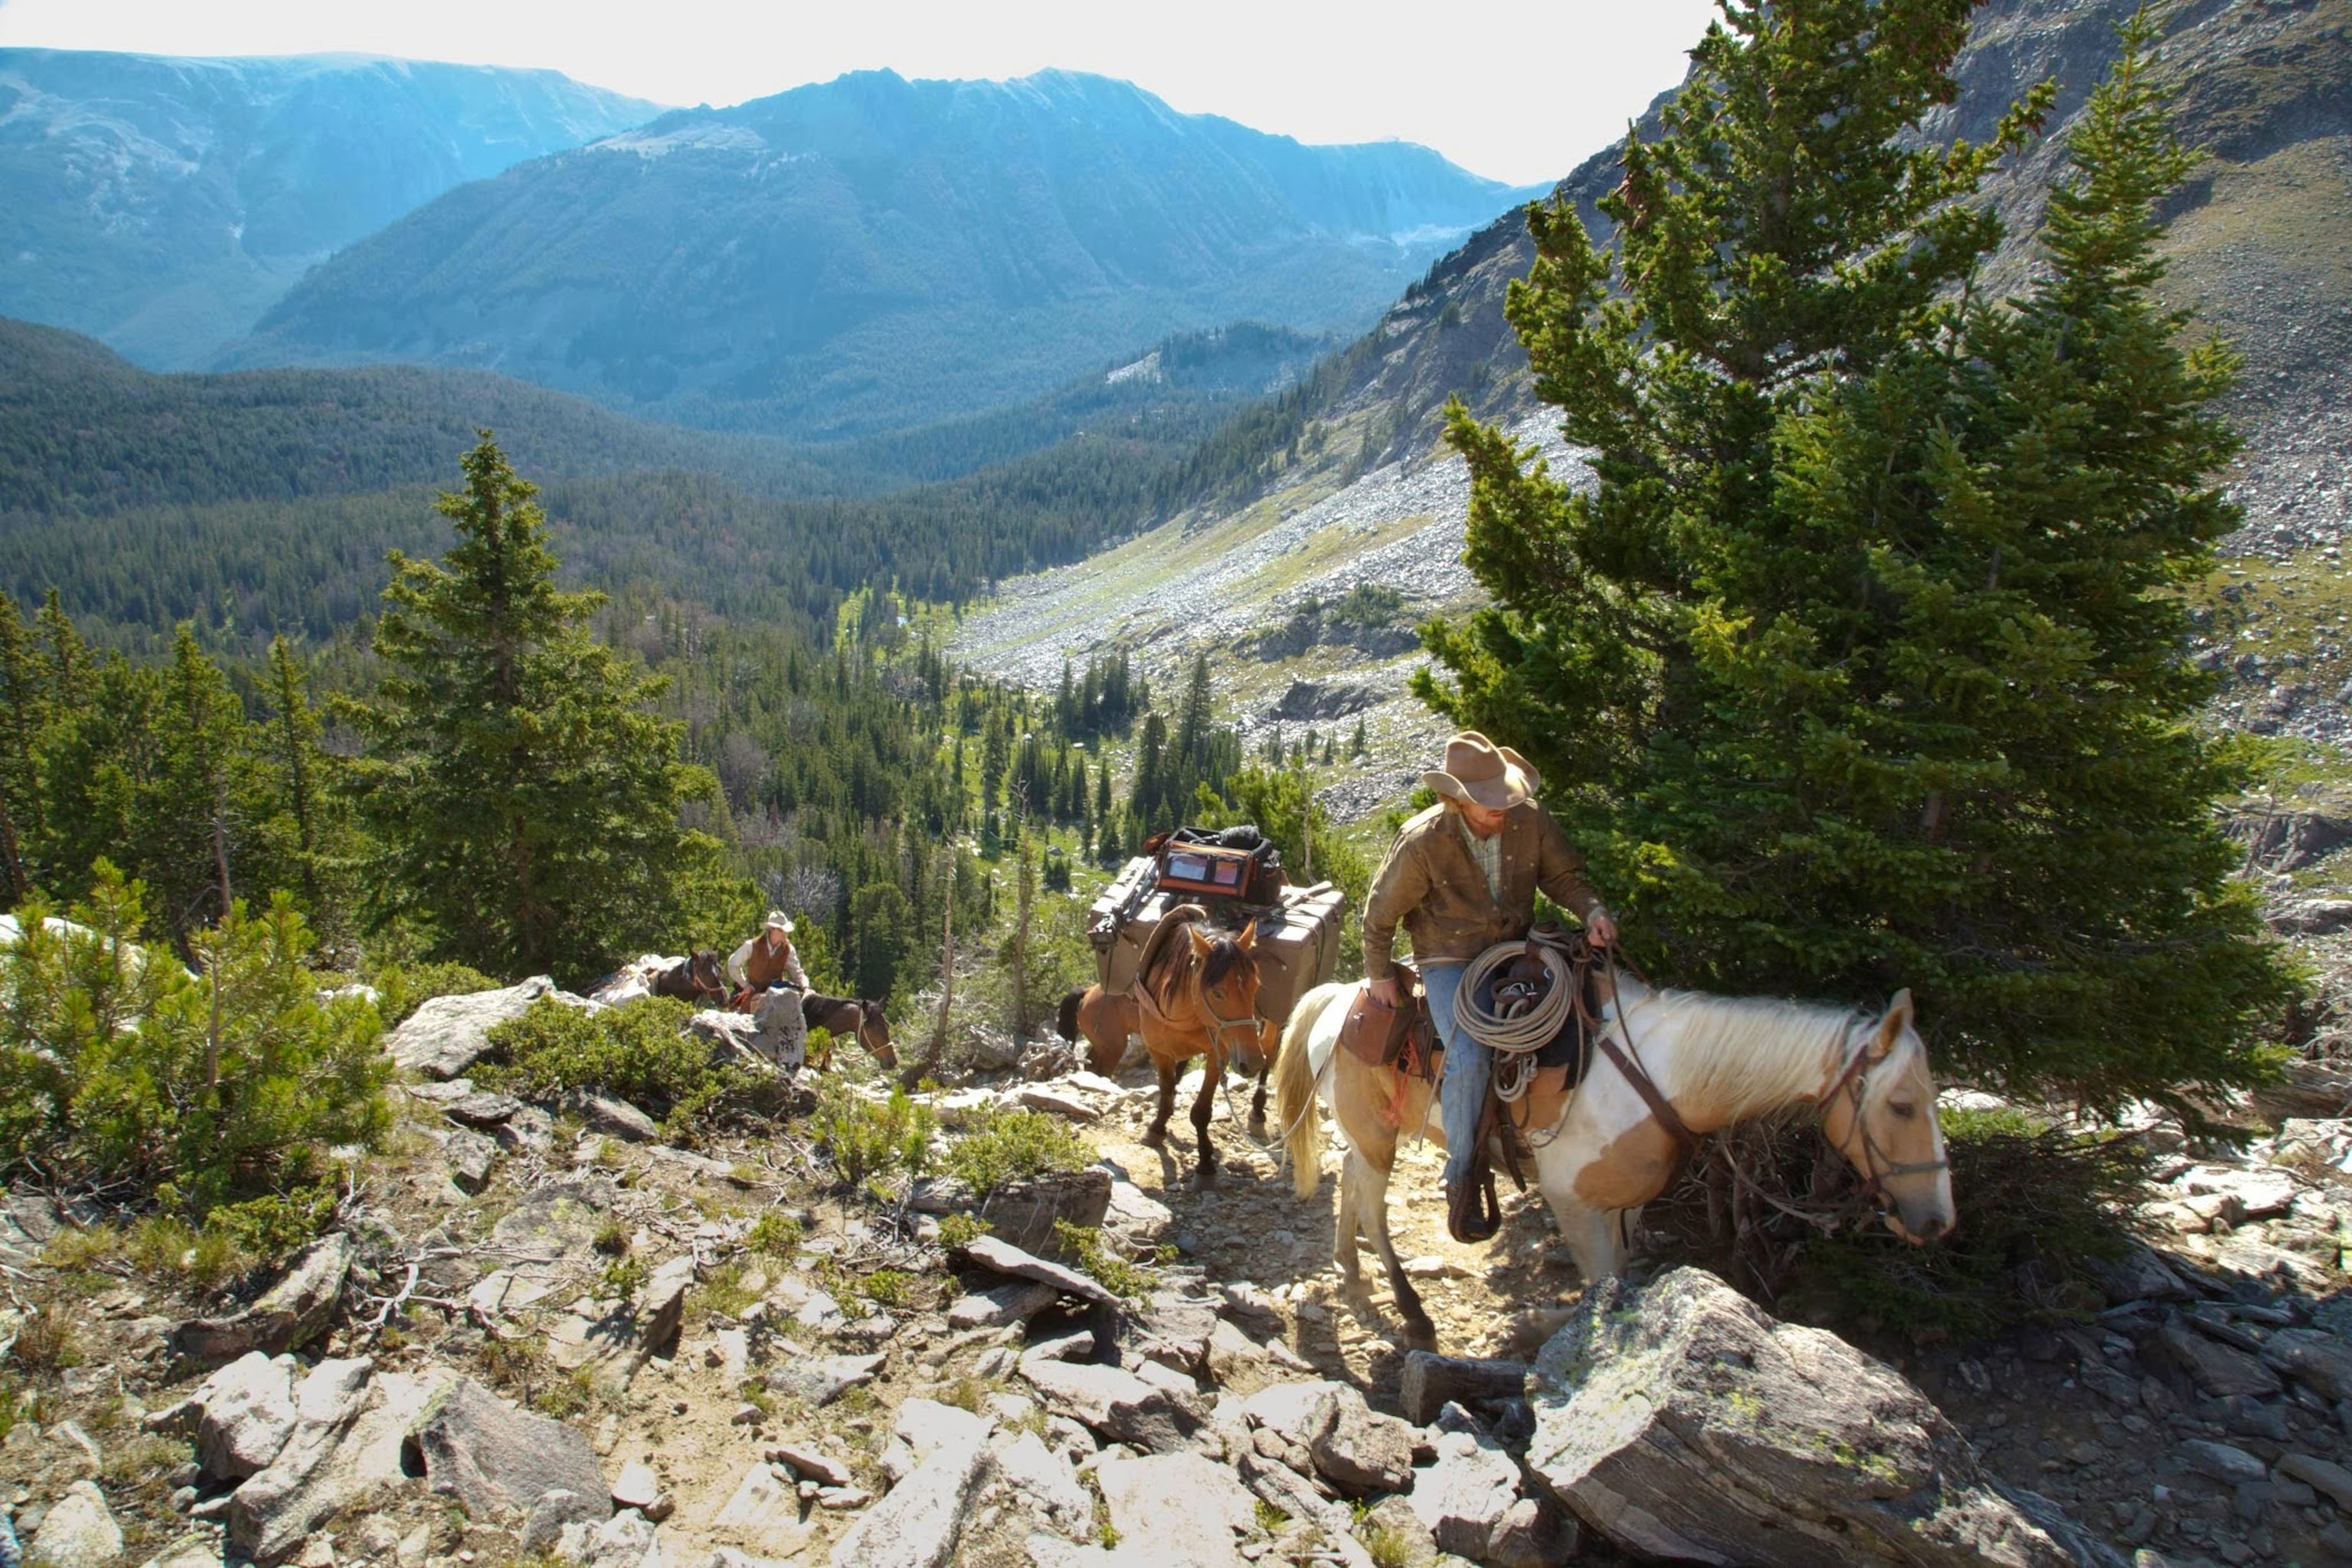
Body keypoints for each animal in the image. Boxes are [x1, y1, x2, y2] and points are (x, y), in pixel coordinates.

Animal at [1274, 971, 1954, 1347]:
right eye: (1901, 1105)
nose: (1939, 1222)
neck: (1663, 1079)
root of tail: (1338, 997)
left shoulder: (1626, 1204)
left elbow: (1618, 1280)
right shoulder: (1572, 1203)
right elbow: (1594, 1288)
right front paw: (1532, 1327)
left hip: (1368, 1136)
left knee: (1351, 1185)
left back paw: (1350, 1268)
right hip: (1375, 1137)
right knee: (1372, 1202)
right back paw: (1411, 1311)